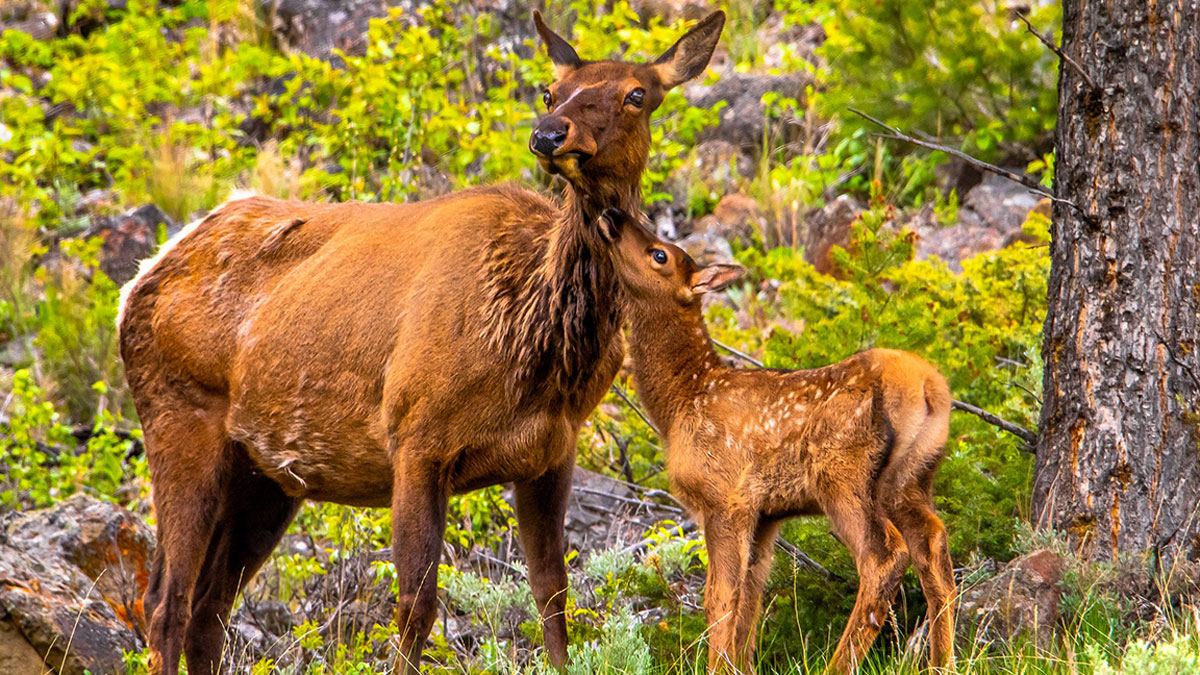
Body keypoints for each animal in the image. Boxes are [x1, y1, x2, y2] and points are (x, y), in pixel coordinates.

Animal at [116, 11, 725, 675]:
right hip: (179, 414)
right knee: (164, 601)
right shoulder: (414, 435)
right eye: (550, 90)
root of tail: (140, 279)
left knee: (209, 607)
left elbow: (552, 593)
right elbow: (415, 606)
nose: (548, 135)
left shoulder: (551, 452)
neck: (538, 345)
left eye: (637, 94)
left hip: (263, 473)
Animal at [598, 208, 955, 674]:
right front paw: (741, 664)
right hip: (912, 478)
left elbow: (720, 598)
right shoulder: (767, 514)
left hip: (843, 473)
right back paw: (943, 662)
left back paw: (839, 665)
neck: (681, 401)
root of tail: (929, 387)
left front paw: (718, 667)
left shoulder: (726, 497)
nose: (612, 214)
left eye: (660, 254)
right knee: (934, 548)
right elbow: (750, 598)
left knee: (884, 557)